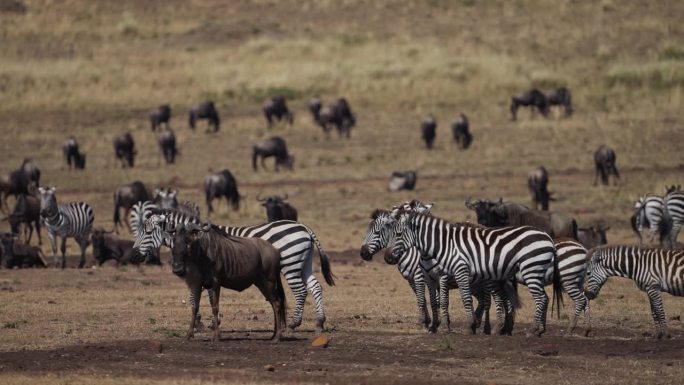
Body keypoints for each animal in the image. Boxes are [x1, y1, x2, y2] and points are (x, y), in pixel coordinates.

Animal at [388, 210, 560, 336]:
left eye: (398, 234)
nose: (388, 257)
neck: (445, 245)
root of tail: (548, 238)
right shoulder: (437, 277)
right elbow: (439, 300)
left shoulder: (458, 270)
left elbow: (464, 299)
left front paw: (469, 326)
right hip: (531, 271)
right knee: (543, 298)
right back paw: (537, 330)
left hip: (530, 268)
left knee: (539, 298)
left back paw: (531, 329)